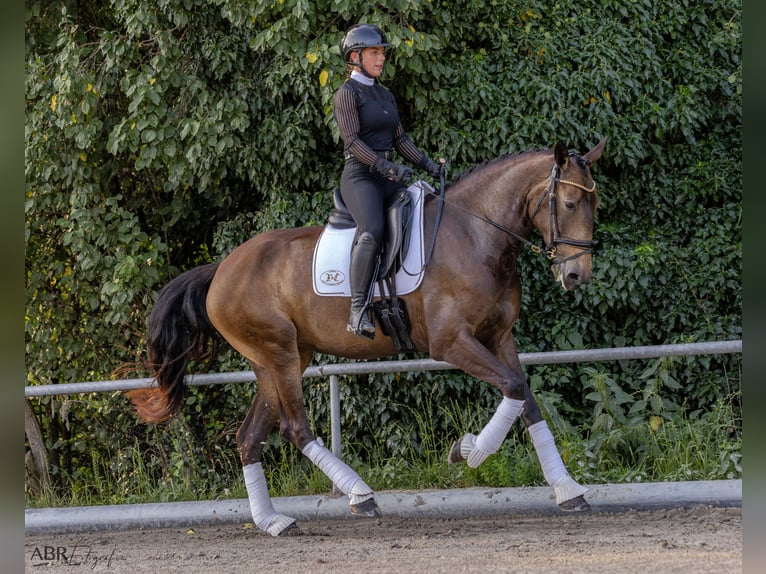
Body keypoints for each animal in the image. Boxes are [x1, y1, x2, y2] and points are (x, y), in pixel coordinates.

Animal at [132, 137, 612, 536]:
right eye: (570, 202)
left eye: (594, 204)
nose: (577, 275)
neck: (477, 234)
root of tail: (221, 269)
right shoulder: (451, 343)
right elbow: (512, 388)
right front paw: (467, 450)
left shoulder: (499, 338)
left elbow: (526, 400)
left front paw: (567, 489)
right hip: (279, 354)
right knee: (295, 428)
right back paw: (359, 495)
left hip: (276, 360)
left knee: (250, 437)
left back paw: (273, 522)